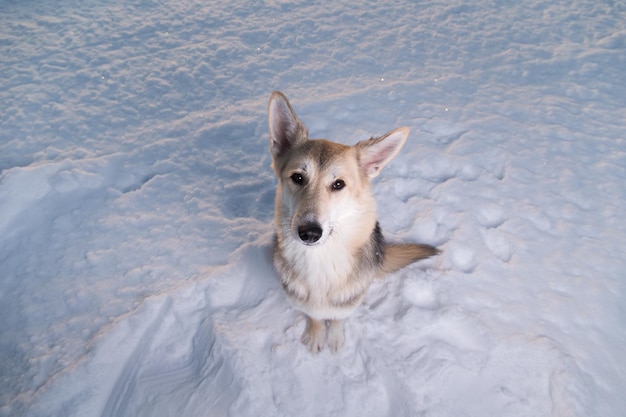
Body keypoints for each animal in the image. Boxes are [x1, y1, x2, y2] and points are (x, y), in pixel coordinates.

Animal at [268, 91, 438, 352]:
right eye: (298, 177)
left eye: (338, 184)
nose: (309, 233)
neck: (321, 259)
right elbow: (315, 316)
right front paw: (316, 335)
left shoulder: (349, 299)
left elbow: (338, 317)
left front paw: (335, 337)